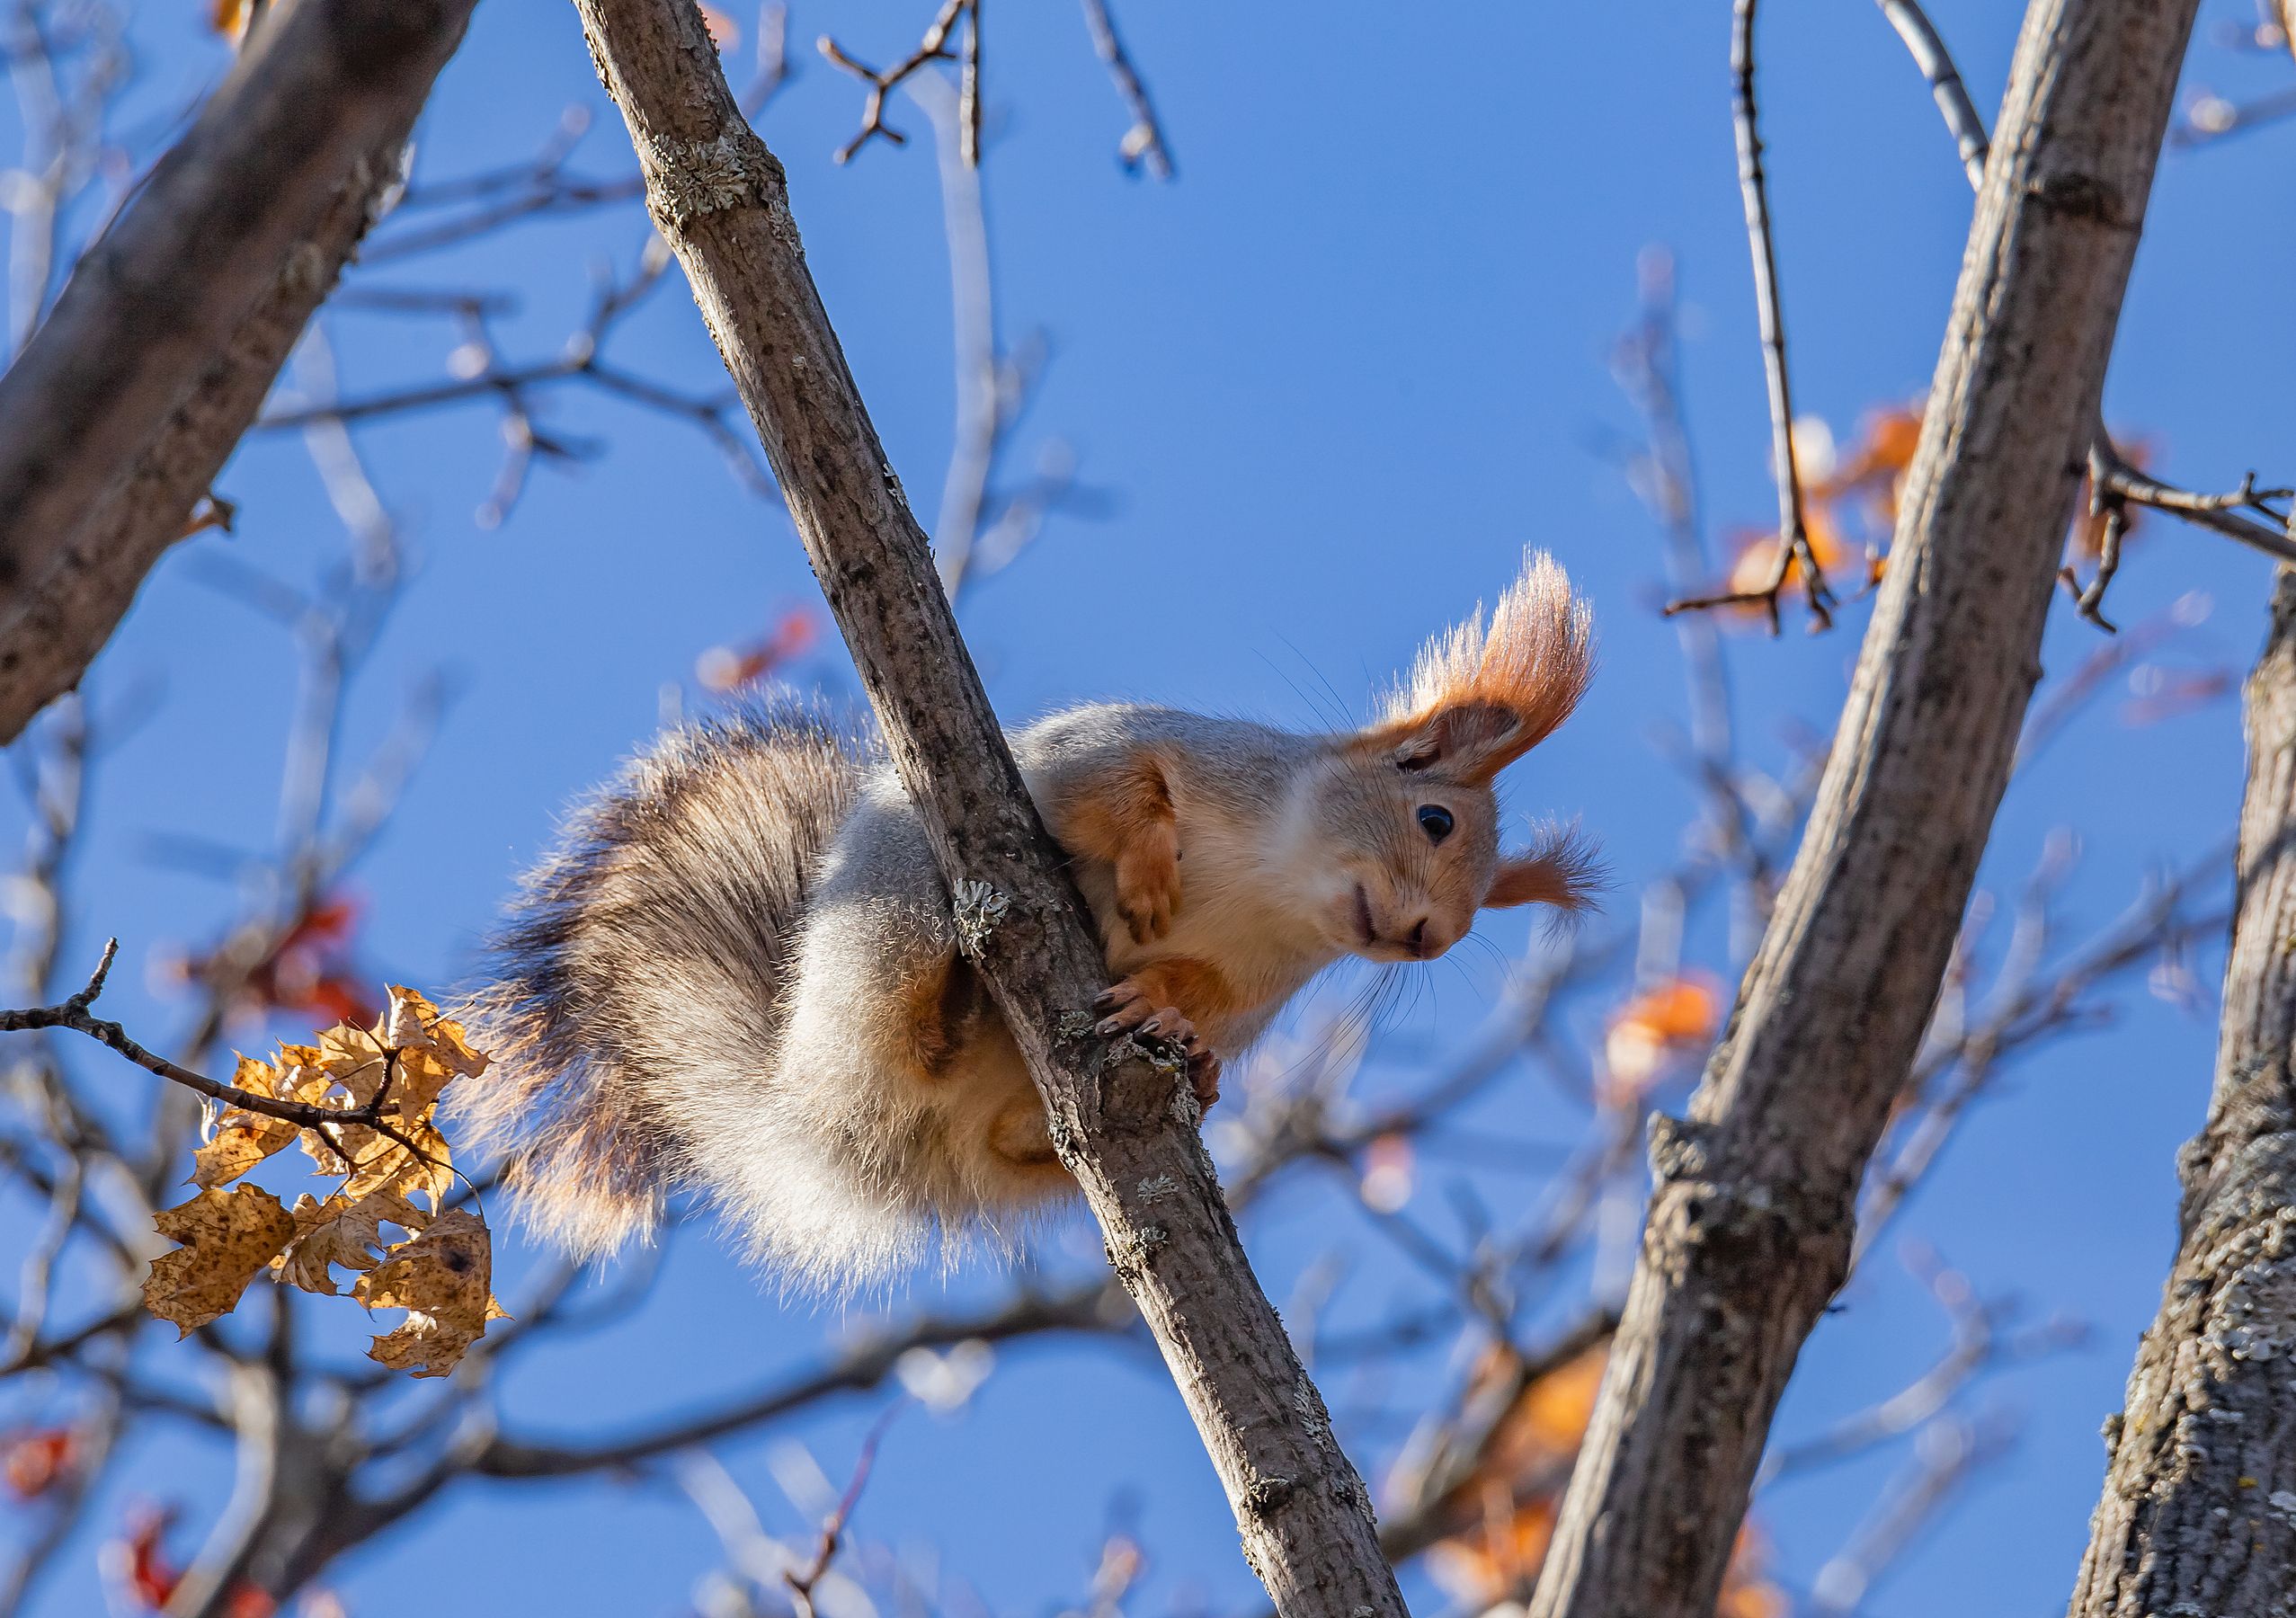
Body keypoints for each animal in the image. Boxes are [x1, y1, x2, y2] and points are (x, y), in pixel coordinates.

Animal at [454, 548, 1589, 1294]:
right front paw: (1147, 867)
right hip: (891, 917)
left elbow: (1201, 990)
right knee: (904, 1023)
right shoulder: (1125, 756)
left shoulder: (1260, 979)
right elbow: (1121, 795)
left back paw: (1179, 1085)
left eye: (1479, 917)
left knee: (1008, 1137)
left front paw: (1171, 1012)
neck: (1274, 884)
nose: (1428, 937)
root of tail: (817, 1118)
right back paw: (950, 997)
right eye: (1434, 818)